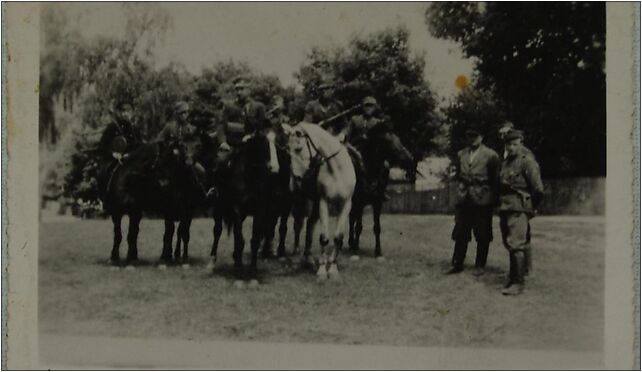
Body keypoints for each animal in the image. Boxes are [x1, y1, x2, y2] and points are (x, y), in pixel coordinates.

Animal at [282, 122, 358, 282]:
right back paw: (299, 255)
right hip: (302, 201)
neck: (337, 169)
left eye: (298, 148)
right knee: (299, 226)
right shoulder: (324, 203)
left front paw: (333, 269)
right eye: (288, 149)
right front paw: (323, 271)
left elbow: (338, 238)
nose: (297, 179)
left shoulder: (346, 205)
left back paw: (310, 259)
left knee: (310, 224)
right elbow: (324, 237)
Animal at [348, 123, 412, 260]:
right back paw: (351, 243)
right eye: (388, 141)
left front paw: (378, 251)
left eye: (399, 139)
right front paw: (355, 249)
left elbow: (377, 228)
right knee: (351, 219)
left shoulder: (377, 202)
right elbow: (358, 226)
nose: (409, 158)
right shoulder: (360, 201)